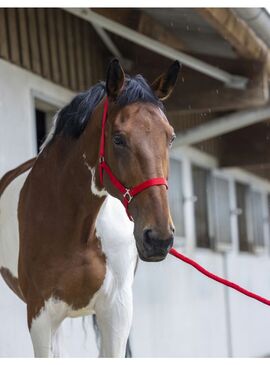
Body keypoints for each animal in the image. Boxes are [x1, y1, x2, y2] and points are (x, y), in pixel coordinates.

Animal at [0, 58, 179, 356]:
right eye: (118, 138)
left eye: (170, 137)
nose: (158, 238)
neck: (79, 230)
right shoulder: (40, 315)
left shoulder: (117, 311)